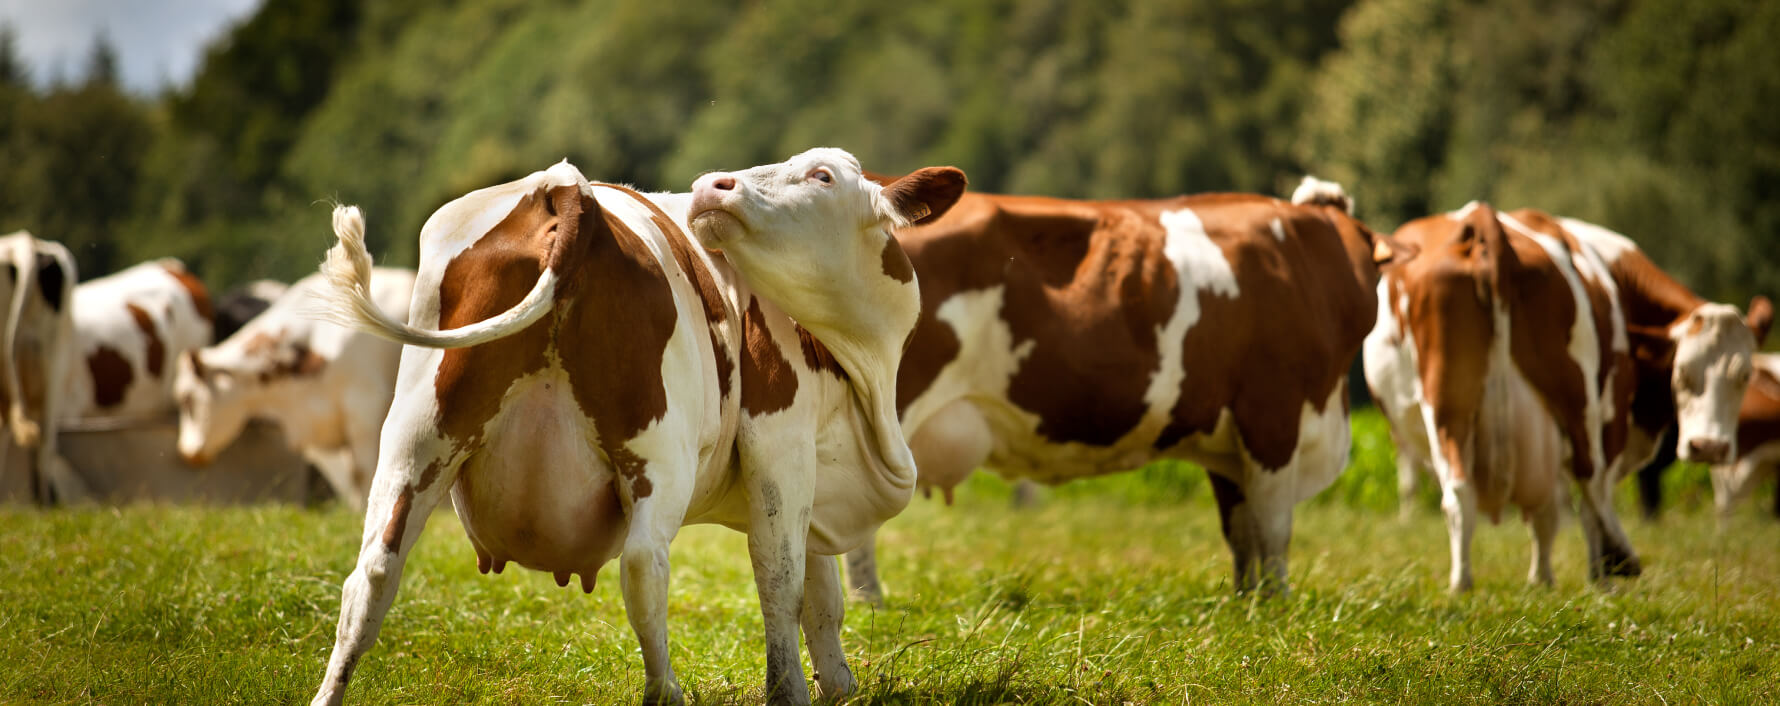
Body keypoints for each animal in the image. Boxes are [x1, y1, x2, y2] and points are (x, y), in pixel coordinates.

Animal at [306, 149, 966, 706]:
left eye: (822, 176)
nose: (713, 185)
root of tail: (566, 190)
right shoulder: (782, 444)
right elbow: (785, 582)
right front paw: (792, 693)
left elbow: (822, 591)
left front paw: (839, 683)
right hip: (657, 456)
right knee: (645, 566)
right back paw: (665, 691)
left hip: (416, 441)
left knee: (372, 574)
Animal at [842, 176, 1402, 602]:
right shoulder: (1273, 414)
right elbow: (1274, 527)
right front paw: (1279, 604)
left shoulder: (1230, 441)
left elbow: (1241, 530)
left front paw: (1250, 602)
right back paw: (872, 603)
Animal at [1365, 203, 1766, 591]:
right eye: (1681, 373)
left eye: (1744, 376)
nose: (1709, 447)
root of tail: (1482, 219)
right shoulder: (1612, 415)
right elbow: (1584, 497)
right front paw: (1593, 572)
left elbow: (1547, 509)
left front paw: (1542, 578)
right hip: (1579, 403)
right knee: (1591, 480)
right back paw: (1614, 562)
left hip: (1448, 406)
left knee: (1460, 494)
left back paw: (1462, 582)